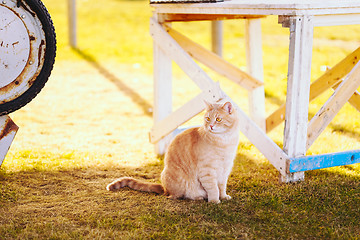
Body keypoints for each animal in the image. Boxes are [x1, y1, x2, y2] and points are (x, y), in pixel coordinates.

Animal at [107, 100, 242, 203]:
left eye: (218, 119)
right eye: (208, 118)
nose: (211, 126)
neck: (225, 141)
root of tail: (164, 188)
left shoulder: (225, 170)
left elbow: (222, 187)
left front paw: (223, 197)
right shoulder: (207, 171)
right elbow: (213, 188)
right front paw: (214, 201)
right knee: (175, 196)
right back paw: (197, 197)